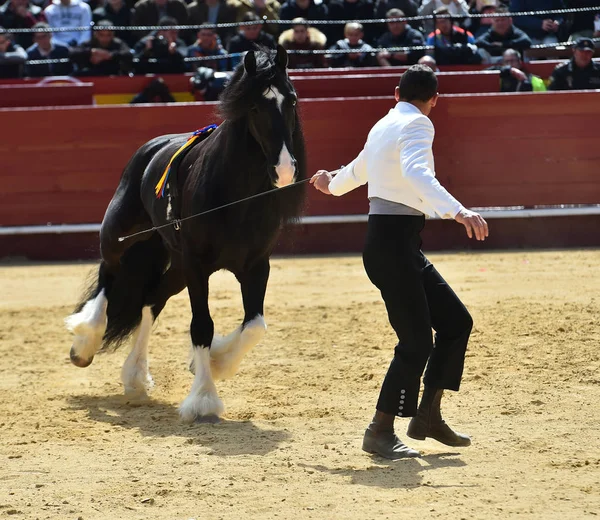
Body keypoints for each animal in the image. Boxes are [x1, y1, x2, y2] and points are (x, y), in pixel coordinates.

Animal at [67, 45, 304, 422]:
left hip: (175, 265)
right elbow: (201, 326)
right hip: (122, 236)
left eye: (291, 100)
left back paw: (135, 377)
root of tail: (152, 147)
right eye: (254, 106)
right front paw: (203, 398)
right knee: (109, 275)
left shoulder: (255, 266)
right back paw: (85, 341)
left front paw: (217, 363)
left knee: (151, 300)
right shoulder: (197, 267)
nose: (283, 170)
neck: (234, 195)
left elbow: (254, 326)